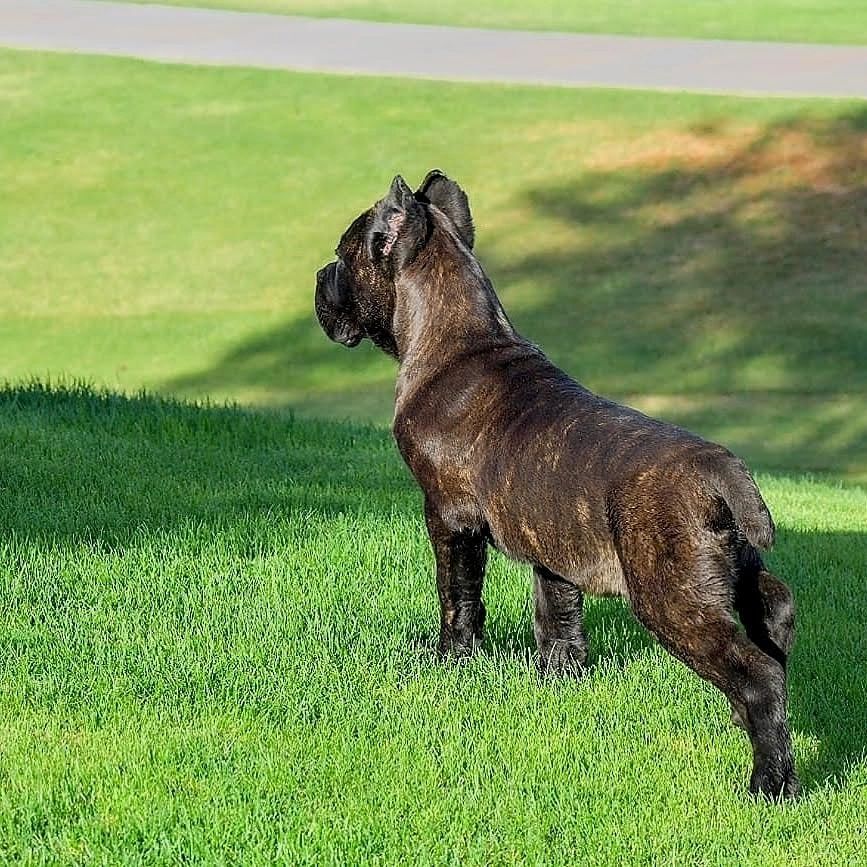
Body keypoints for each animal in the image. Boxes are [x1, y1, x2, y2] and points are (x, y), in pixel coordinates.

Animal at [314, 171, 800, 800]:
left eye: (343, 257)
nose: (319, 276)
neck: (457, 338)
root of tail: (719, 468)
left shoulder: (449, 518)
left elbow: (458, 597)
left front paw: (451, 662)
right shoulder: (552, 546)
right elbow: (558, 615)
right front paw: (559, 681)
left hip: (672, 598)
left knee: (758, 675)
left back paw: (771, 784)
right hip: (737, 575)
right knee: (776, 618)